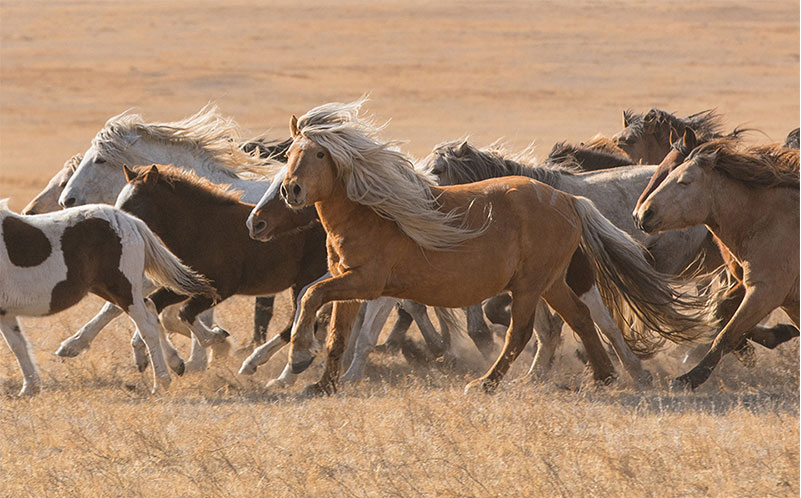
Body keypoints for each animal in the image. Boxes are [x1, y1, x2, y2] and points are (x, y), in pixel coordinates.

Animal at [0, 200, 217, 395]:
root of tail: (130, 221)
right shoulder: (5, 313)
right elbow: (18, 345)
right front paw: (30, 388)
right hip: (109, 289)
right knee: (151, 310)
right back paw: (176, 363)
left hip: (122, 290)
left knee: (147, 326)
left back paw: (161, 383)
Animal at [268, 99, 710, 396]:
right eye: (290, 154)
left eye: (320, 153)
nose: (292, 191)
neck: (370, 215)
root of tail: (569, 200)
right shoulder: (349, 284)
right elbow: (336, 333)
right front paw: (321, 384)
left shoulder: (365, 282)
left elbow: (310, 297)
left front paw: (299, 356)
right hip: (551, 282)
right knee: (581, 318)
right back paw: (604, 375)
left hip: (530, 286)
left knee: (523, 331)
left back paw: (486, 382)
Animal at [634, 138, 800, 389]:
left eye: (684, 180)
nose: (644, 214)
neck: (769, 219)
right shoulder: (749, 285)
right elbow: (720, 312)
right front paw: (776, 335)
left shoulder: (765, 290)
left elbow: (726, 334)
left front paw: (688, 379)